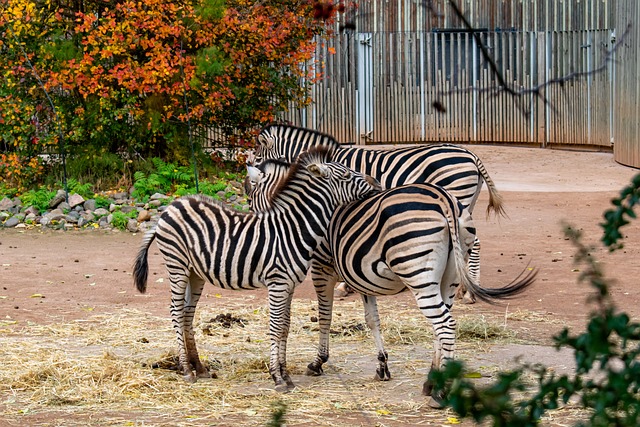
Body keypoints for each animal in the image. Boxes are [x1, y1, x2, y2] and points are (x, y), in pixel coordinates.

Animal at [131, 149, 380, 392]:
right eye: (346, 175)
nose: (377, 183)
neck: (293, 230)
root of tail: (171, 207)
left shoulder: (289, 285)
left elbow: (285, 326)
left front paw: (286, 375)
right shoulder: (277, 282)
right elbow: (275, 327)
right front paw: (277, 378)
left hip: (195, 273)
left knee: (186, 313)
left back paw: (199, 368)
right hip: (177, 265)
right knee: (175, 311)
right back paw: (185, 370)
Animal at [245, 158, 536, 408]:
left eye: (251, 194)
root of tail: (444, 199)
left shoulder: (321, 267)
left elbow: (325, 317)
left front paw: (318, 362)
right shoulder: (360, 275)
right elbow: (372, 319)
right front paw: (382, 366)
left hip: (418, 271)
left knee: (445, 324)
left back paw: (440, 393)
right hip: (449, 277)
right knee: (441, 325)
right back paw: (431, 382)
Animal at [252, 123, 502, 304]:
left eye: (257, 158)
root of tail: (470, 153)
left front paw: (343, 284)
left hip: (456, 195)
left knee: (473, 242)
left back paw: (469, 292)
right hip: (463, 205)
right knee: (472, 241)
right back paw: (464, 288)